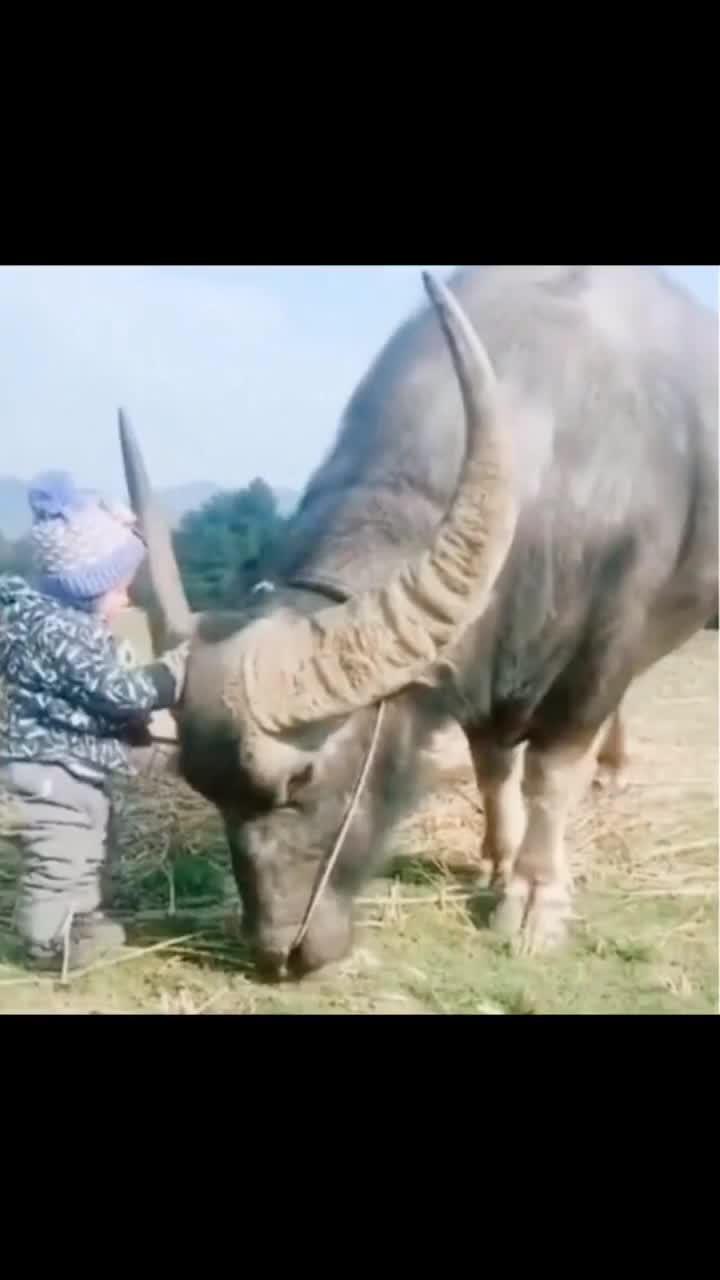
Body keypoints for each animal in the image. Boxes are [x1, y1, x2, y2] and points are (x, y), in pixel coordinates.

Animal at [116, 264, 712, 972]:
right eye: (202, 787)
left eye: (302, 776)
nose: (277, 951)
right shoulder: (482, 665)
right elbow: (493, 767)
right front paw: (498, 862)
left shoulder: (603, 651)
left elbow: (551, 773)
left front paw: (535, 898)